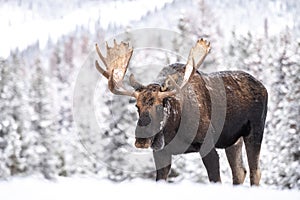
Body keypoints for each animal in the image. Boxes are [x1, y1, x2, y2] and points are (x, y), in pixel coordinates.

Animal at [94, 38, 268, 185]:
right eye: (137, 106)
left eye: (160, 105)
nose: (142, 139)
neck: (174, 130)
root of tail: (264, 87)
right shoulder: (161, 152)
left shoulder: (207, 144)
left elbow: (215, 179)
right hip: (232, 141)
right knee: (240, 171)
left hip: (255, 131)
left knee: (255, 171)